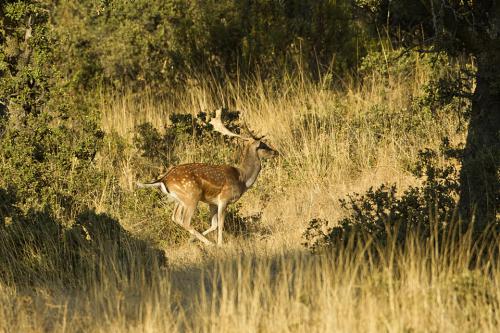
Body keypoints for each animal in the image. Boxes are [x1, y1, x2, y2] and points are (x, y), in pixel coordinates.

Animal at [137, 107, 278, 245]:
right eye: (263, 145)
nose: (275, 152)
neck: (242, 179)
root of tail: (163, 179)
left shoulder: (212, 203)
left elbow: (214, 225)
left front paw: (193, 239)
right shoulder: (224, 199)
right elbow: (220, 224)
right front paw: (220, 244)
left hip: (179, 199)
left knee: (175, 217)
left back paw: (194, 240)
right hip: (192, 196)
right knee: (185, 221)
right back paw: (209, 244)